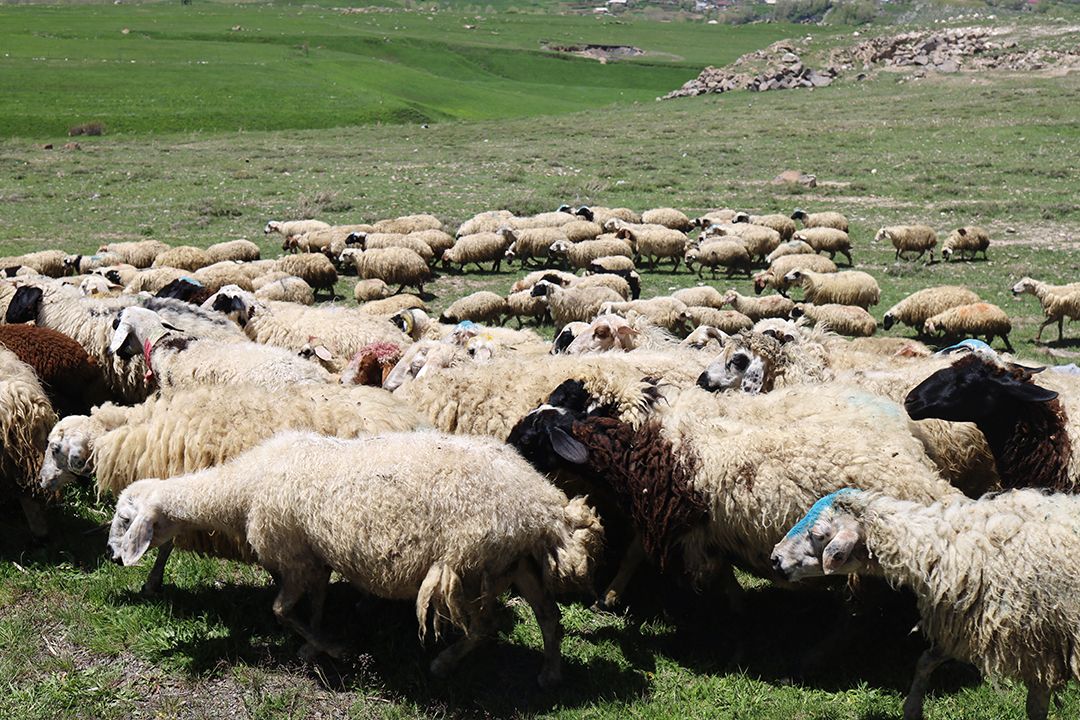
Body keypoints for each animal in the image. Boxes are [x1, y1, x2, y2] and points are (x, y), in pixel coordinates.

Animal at [771, 488, 1080, 720]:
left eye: (818, 534)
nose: (775, 558)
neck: (942, 545)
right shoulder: (961, 623)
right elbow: (926, 660)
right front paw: (912, 709)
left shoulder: (1040, 647)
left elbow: (1035, 709)